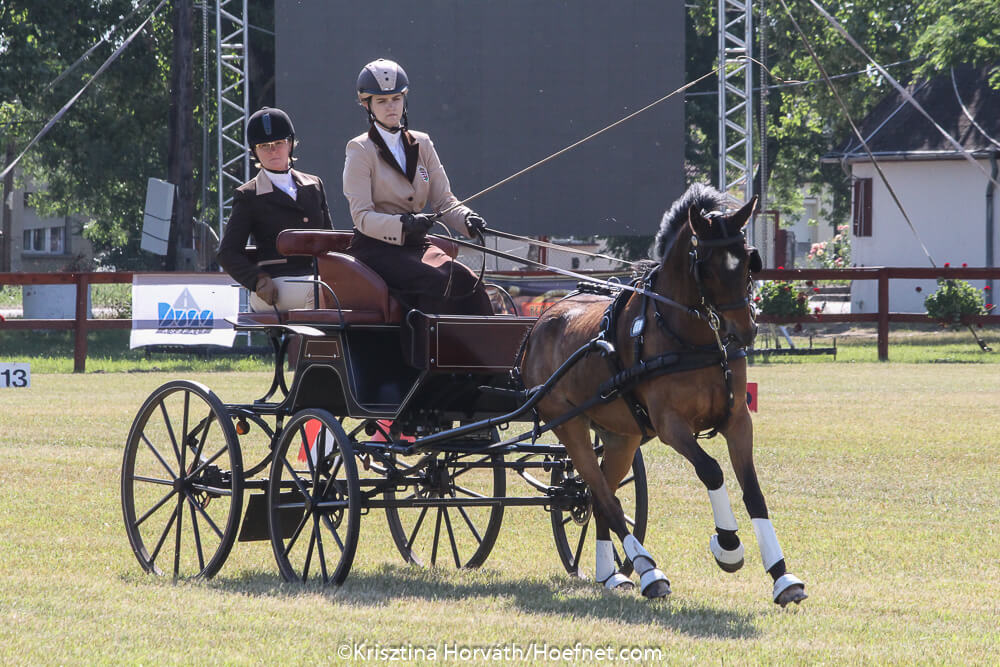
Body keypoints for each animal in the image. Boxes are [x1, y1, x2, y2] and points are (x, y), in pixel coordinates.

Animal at [520, 183, 808, 604]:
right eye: (708, 266)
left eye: (748, 261)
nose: (744, 331)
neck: (692, 339)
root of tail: (541, 320)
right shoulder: (672, 425)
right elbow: (711, 469)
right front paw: (728, 545)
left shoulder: (738, 420)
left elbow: (753, 490)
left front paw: (782, 576)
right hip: (569, 424)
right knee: (602, 493)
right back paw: (648, 570)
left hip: (621, 437)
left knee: (601, 494)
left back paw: (611, 574)